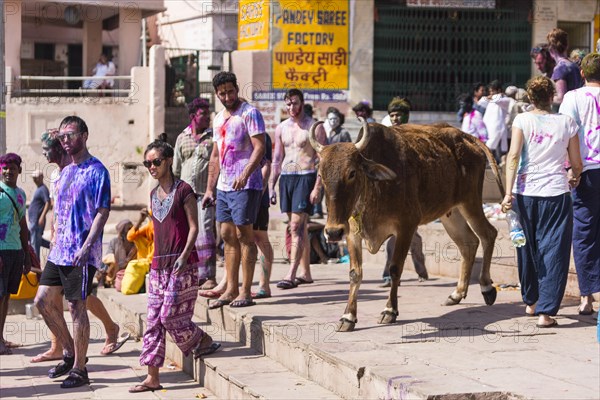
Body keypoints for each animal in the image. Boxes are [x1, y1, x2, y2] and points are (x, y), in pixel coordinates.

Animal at [312, 119, 504, 332]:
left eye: (352, 173)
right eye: (320, 175)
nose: (332, 232)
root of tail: (465, 136)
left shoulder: (406, 226)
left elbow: (395, 268)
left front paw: (390, 311)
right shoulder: (352, 233)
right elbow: (355, 273)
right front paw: (348, 317)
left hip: (470, 202)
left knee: (488, 234)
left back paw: (487, 288)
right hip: (451, 213)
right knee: (468, 243)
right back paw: (456, 294)